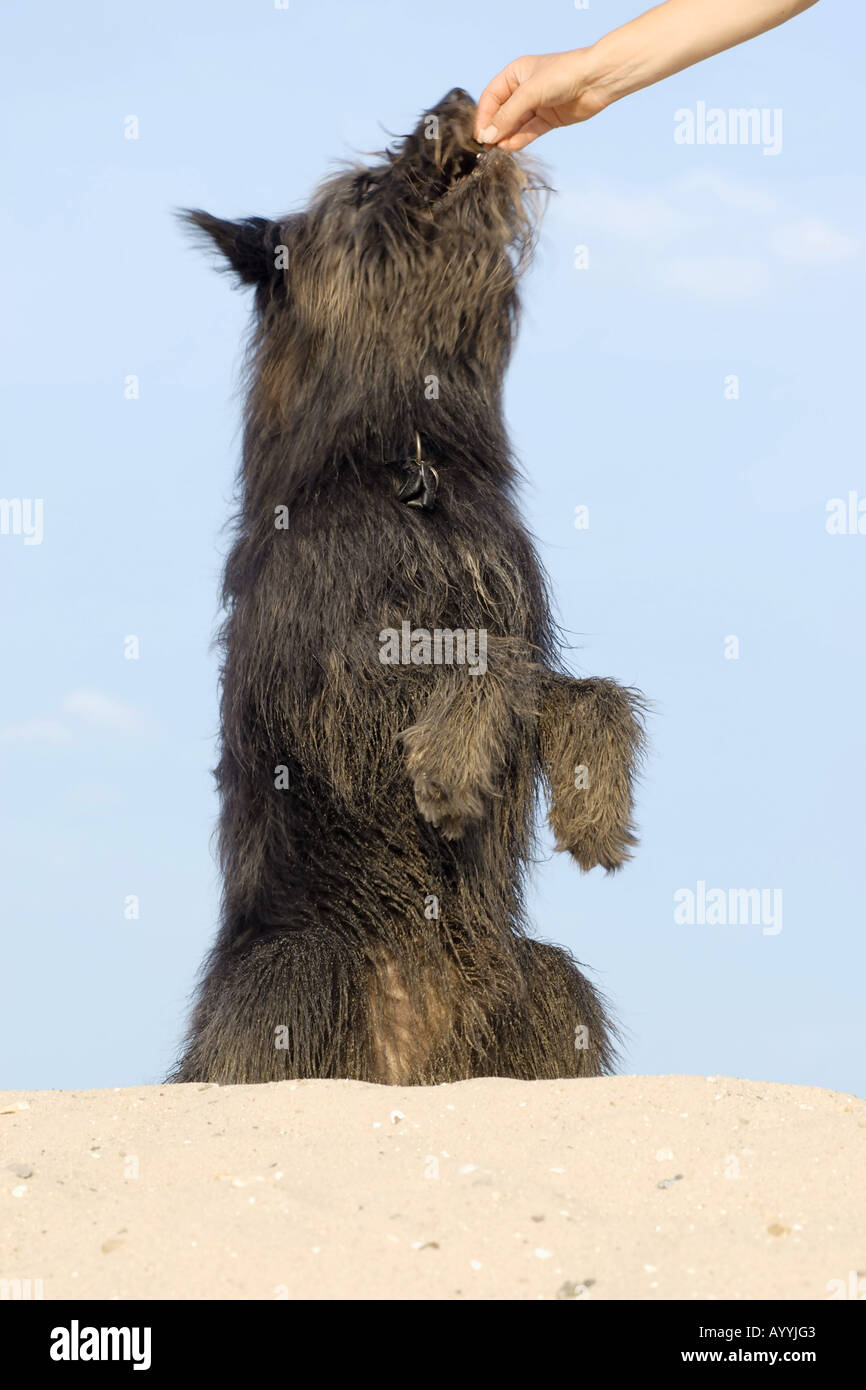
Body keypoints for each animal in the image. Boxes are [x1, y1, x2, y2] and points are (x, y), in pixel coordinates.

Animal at [170, 86, 644, 1084]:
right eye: (359, 187)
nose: (459, 100)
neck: (407, 460)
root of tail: (416, 1061)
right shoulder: (334, 685)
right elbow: (484, 662)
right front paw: (451, 763)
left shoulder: (514, 614)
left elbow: (574, 684)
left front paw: (596, 800)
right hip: (304, 966)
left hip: (545, 983)